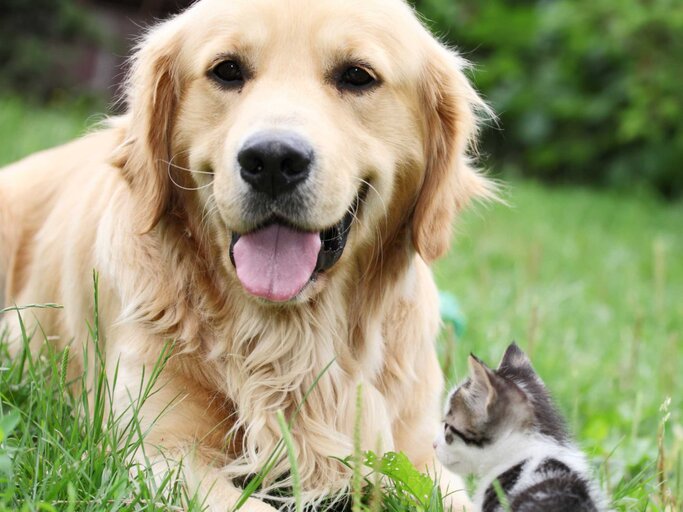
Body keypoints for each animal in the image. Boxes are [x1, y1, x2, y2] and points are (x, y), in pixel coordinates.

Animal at [0, 1, 496, 508]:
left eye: (357, 76)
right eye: (227, 70)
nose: (273, 160)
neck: (289, 338)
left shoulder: (419, 457)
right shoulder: (155, 450)